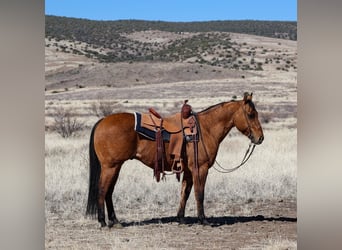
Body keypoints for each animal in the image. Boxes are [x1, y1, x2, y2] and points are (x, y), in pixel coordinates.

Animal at [86, 93, 264, 228]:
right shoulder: (200, 168)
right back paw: (103, 222)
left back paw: (115, 221)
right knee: (102, 190)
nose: (260, 138)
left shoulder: (188, 170)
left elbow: (185, 192)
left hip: (116, 167)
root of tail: (102, 121)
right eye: (251, 114)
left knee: (109, 192)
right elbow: (199, 193)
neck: (206, 129)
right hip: (110, 167)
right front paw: (203, 220)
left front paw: (181, 218)